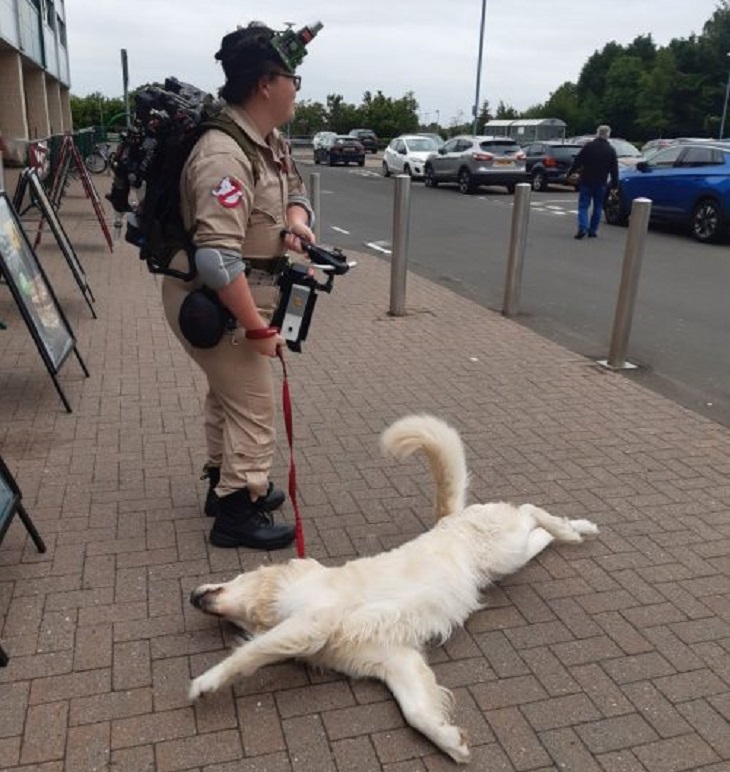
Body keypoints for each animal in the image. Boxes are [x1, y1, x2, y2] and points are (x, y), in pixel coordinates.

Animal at [188, 414, 596, 764]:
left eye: (230, 578)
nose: (192, 596)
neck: (281, 593)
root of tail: (449, 519)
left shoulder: (312, 621)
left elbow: (251, 652)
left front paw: (206, 682)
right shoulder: (393, 659)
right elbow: (416, 711)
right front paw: (450, 740)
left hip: (505, 547)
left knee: (528, 509)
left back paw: (574, 529)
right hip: (510, 557)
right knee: (538, 530)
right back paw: (576, 529)